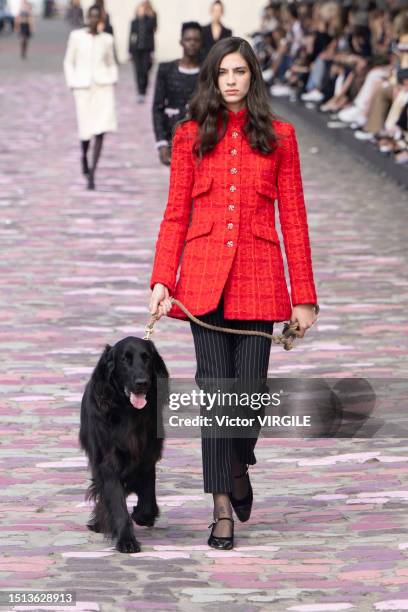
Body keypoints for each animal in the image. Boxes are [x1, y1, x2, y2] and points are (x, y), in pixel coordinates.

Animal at [79, 338, 168, 552]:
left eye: (147, 358)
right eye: (124, 360)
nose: (142, 383)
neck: (130, 412)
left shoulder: (147, 457)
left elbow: (148, 500)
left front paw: (142, 515)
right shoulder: (108, 463)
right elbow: (116, 502)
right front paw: (126, 540)